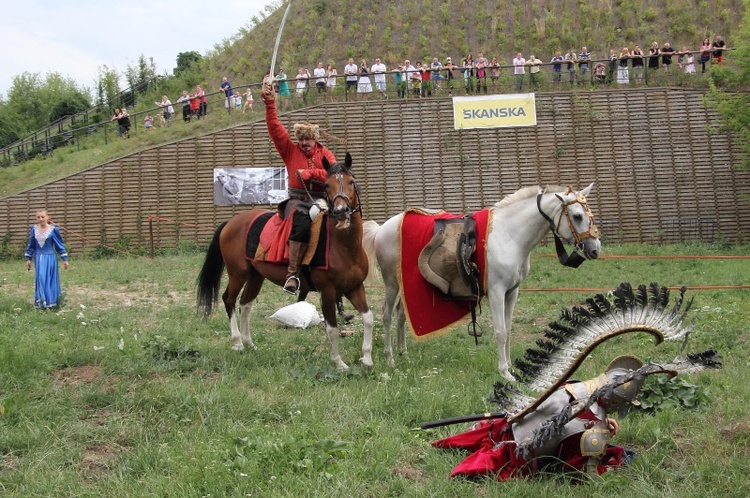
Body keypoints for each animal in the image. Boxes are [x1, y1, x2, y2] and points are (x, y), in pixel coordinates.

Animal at [197, 155, 376, 370]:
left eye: (351, 182)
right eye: (327, 185)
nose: (341, 211)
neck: (344, 246)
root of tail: (231, 222)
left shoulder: (355, 287)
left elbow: (368, 318)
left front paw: (367, 358)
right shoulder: (327, 291)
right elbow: (332, 328)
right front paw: (339, 363)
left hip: (256, 276)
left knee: (245, 304)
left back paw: (249, 343)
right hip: (237, 273)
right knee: (229, 300)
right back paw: (238, 342)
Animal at [364, 185, 604, 380]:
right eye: (577, 216)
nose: (595, 249)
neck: (509, 235)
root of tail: (382, 229)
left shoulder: (512, 293)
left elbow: (508, 330)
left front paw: (511, 367)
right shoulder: (497, 292)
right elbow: (500, 332)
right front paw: (505, 372)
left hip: (407, 287)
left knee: (401, 313)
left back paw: (403, 353)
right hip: (392, 284)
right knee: (386, 314)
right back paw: (389, 358)